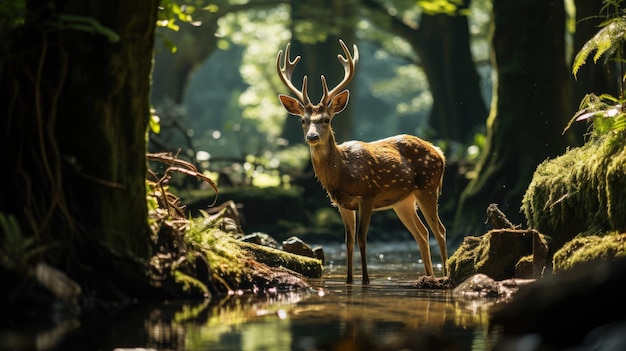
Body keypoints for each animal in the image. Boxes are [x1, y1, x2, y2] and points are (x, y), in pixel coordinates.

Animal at [276, 40, 446, 284]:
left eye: (326, 119)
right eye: (302, 120)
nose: (312, 136)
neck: (343, 173)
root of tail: (440, 153)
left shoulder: (368, 194)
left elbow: (362, 239)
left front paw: (365, 280)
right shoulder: (342, 204)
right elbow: (347, 242)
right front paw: (349, 280)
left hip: (428, 186)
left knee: (439, 231)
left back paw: (446, 275)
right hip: (403, 201)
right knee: (422, 233)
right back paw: (428, 278)